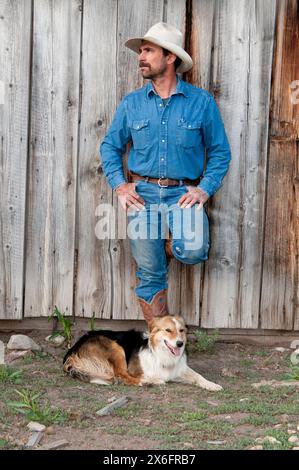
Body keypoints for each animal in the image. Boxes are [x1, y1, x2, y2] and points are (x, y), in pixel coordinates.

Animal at [62, 318, 223, 392]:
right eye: (168, 330)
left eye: (182, 330)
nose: (180, 344)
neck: (161, 353)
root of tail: (72, 350)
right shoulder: (137, 369)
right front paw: (150, 379)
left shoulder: (179, 369)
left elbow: (198, 376)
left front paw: (212, 384)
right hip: (115, 347)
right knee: (121, 376)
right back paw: (148, 382)